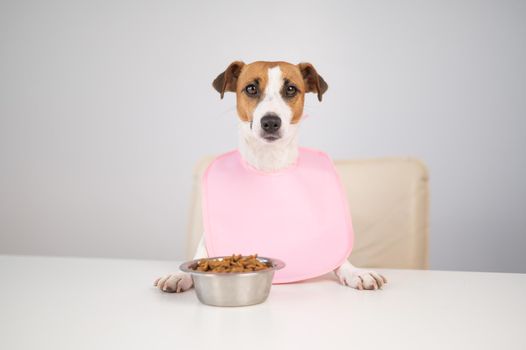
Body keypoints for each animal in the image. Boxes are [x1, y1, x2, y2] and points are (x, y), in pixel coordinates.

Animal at [155, 62, 386, 292]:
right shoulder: (207, 238)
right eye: (250, 88)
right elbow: (201, 252)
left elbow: (339, 257)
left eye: (291, 89)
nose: (271, 122)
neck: (269, 162)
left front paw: (356, 272)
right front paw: (179, 275)